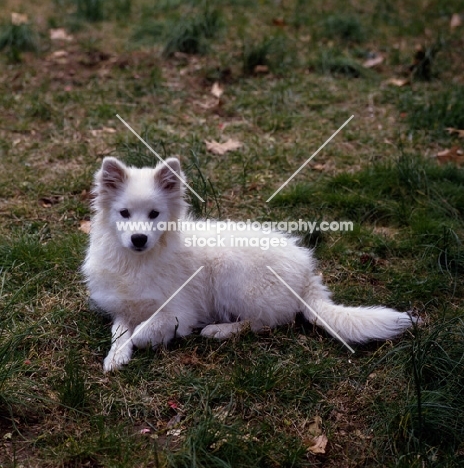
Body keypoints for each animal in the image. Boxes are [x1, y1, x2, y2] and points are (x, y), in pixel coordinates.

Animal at [82, 157, 416, 372]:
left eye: (154, 214)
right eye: (124, 213)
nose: (138, 239)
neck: (139, 261)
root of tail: (306, 274)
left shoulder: (179, 311)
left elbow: (144, 330)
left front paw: (140, 341)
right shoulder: (125, 306)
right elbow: (119, 330)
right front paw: (115, 356)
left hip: (233, 275)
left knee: (266, 322)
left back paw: (219, 330)